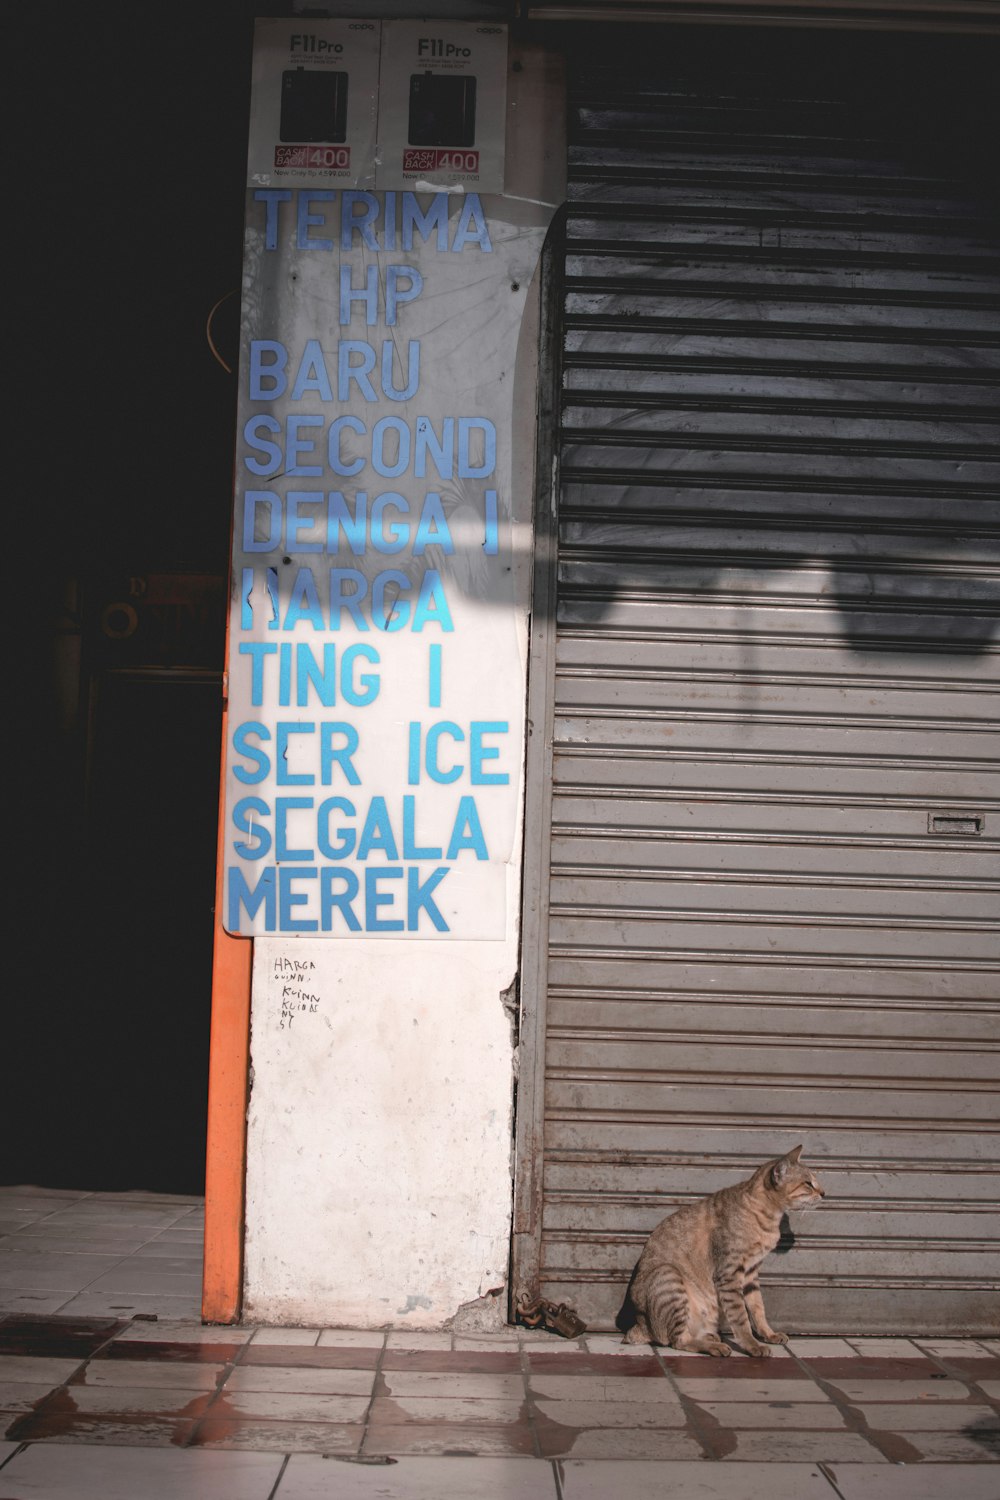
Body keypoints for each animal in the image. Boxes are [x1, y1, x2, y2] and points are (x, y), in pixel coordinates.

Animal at [620, 1146, 827, 1362]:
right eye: (808, 1183)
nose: (824, 1193)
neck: (768, 1218)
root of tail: (641, 1326)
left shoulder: (751, 1273)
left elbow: (758, 1309)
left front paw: (768, 1334)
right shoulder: (729, 1273)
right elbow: (741, 1317)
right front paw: (753, 1345)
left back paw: (712, 1337)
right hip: (668, 1275)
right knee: (678, 1340)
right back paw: (714, 1346)